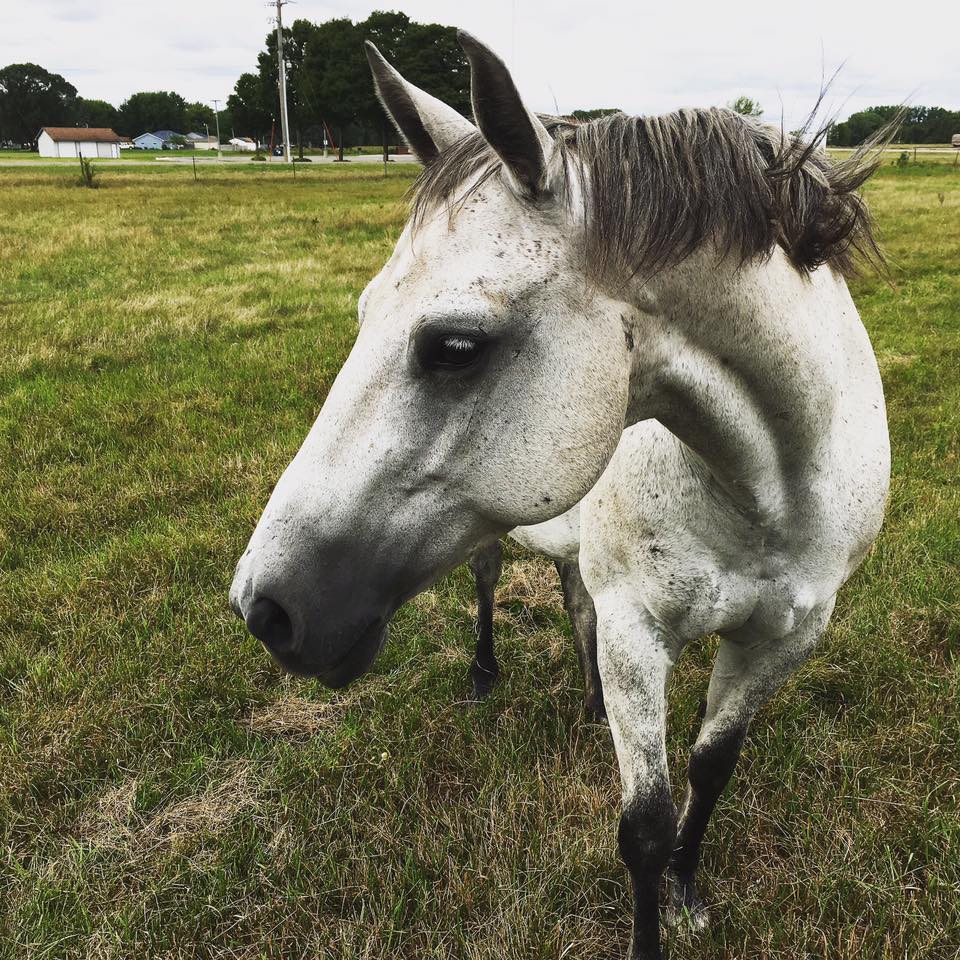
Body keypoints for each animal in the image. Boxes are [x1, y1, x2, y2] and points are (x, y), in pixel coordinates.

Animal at [229, 31, 888, 960]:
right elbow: (642, 825)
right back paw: (485, 674)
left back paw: (586, 703)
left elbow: (710, 767)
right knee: (490, 582)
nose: (265, 608)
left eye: (455, 346)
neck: (772, 490)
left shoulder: (784, 639)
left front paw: (687, 890)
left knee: (574, 597)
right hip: (495, 537)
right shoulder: (638, 630)